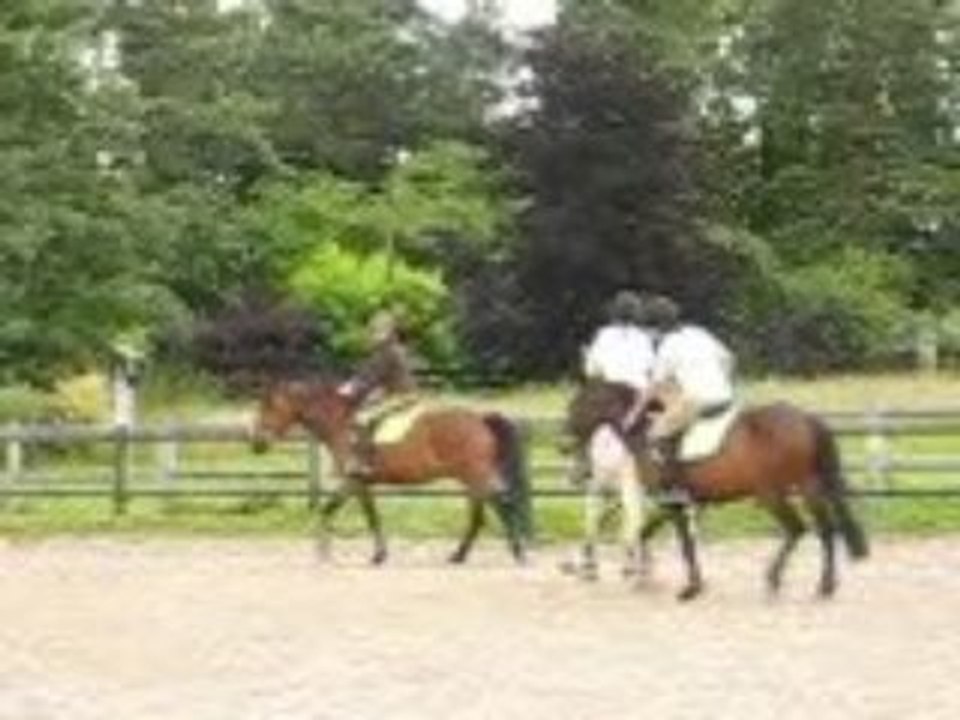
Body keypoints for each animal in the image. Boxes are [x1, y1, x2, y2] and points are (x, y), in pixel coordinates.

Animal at [250, 379, 532, 566]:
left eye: (268, 409)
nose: (257, 445)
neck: (340, 426)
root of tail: (480, 419)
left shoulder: (353, 481)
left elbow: (358, 514)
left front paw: (371, 555)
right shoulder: (360, 483)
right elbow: (347, 512)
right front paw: (329, 552)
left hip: (475, 476)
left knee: (497, 508)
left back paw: (511, 553)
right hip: (472, 479)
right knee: (484, 514)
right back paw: (465, 555)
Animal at [567, 382, 870, 601]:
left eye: (576, 408)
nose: (564, 445)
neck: (644, 434)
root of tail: (806, 418)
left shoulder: (672, 503)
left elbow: (683, 545)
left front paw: (689, 587)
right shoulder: (675, 503)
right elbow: (647, 534)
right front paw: (645, 575)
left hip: (771, 494)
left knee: (796, 529)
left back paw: (773, 580)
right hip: (808, 488)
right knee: (826, 530)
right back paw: (825, 586)